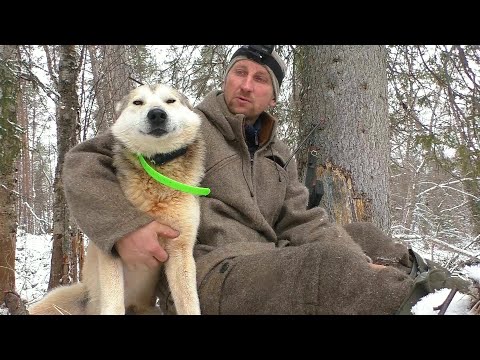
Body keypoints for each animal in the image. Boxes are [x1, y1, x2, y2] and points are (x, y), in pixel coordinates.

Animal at [27, 83, 204, 316]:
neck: (156, 169)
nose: (157, 114)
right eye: (138, 102)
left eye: (170, 101)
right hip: (62, 297)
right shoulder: (112, 250)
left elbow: (189, 302)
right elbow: (113, 302)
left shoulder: (180, 250)